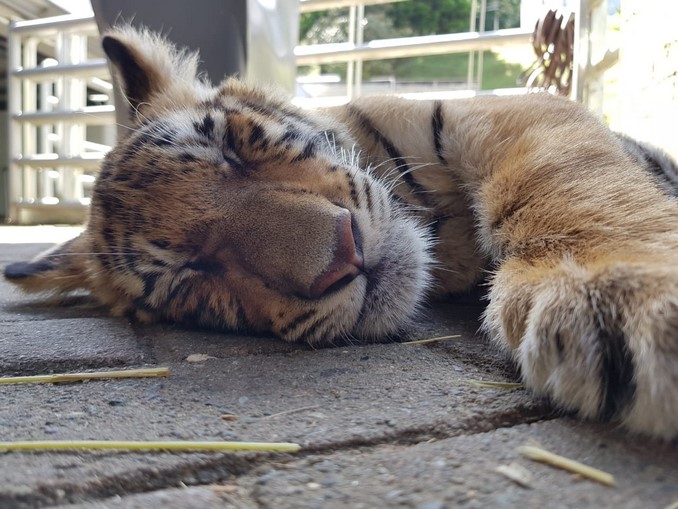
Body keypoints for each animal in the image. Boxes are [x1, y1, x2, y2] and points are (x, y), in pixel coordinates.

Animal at [4, 26, 678, 440]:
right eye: (190, 273)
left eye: (232, 147)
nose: (342, 258)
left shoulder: (509, 113)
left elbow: (570, 185)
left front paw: (615, 293)